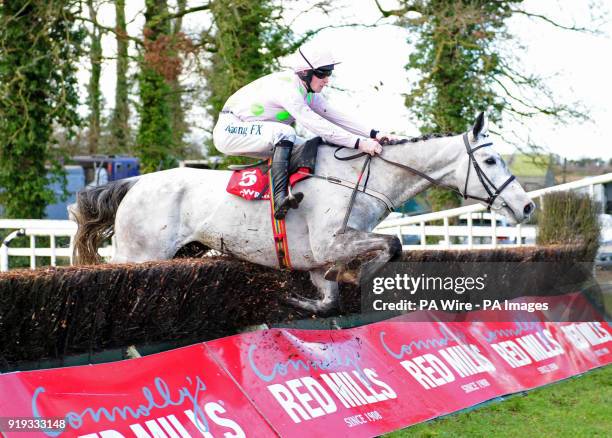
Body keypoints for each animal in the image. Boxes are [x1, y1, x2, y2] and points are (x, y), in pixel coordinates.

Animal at [71, 112, 532, 312]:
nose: (526, 205)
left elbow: (328, 299)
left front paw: (305, 297)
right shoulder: (331, 242)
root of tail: (135, 183)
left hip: (186, 251)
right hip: (139, 255)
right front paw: (358, 274)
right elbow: (393, 244)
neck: (360, 178)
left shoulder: (315, 260)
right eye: (491, 160)